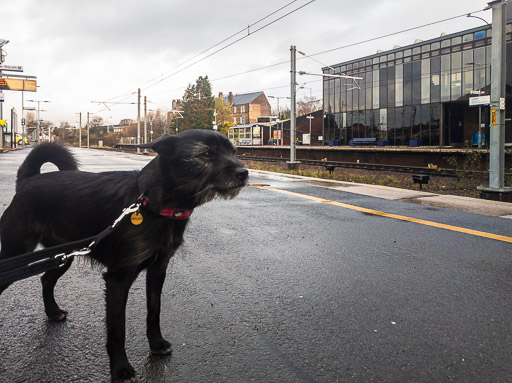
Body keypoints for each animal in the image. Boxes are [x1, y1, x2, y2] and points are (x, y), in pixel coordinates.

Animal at [0, 130, 248, 382]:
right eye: (205, 154)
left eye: (233, 152)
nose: (243, 172)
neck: (152, 205)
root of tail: (27, 181)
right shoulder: (118, 279)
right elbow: (117, 330)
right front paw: (121, 369)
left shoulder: (158, 270)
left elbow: (154, 310)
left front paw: (156, 344)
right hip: (16, 252)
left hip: (63, 256)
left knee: (46, 280)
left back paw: (53, 312)